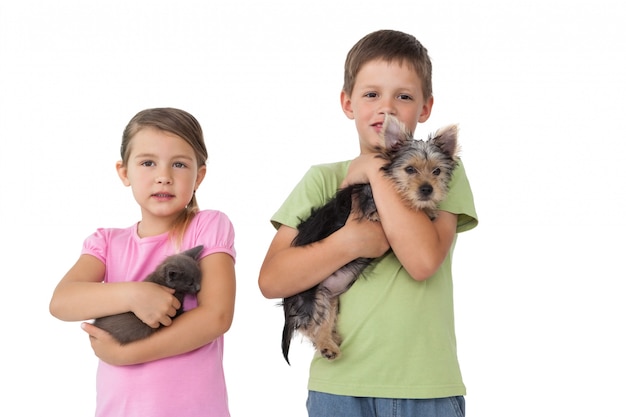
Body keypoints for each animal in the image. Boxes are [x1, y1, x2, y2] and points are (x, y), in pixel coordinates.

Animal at [282, 114, 458, 364]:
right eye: (410, 169)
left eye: (437, 172)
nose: (427, 190)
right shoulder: (372, 208)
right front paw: (425, 209)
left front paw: (429, 208)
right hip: (309, 297)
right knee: (309, 325)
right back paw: (326, 345)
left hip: (327, 297)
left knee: (323, 321)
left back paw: (331, 341)